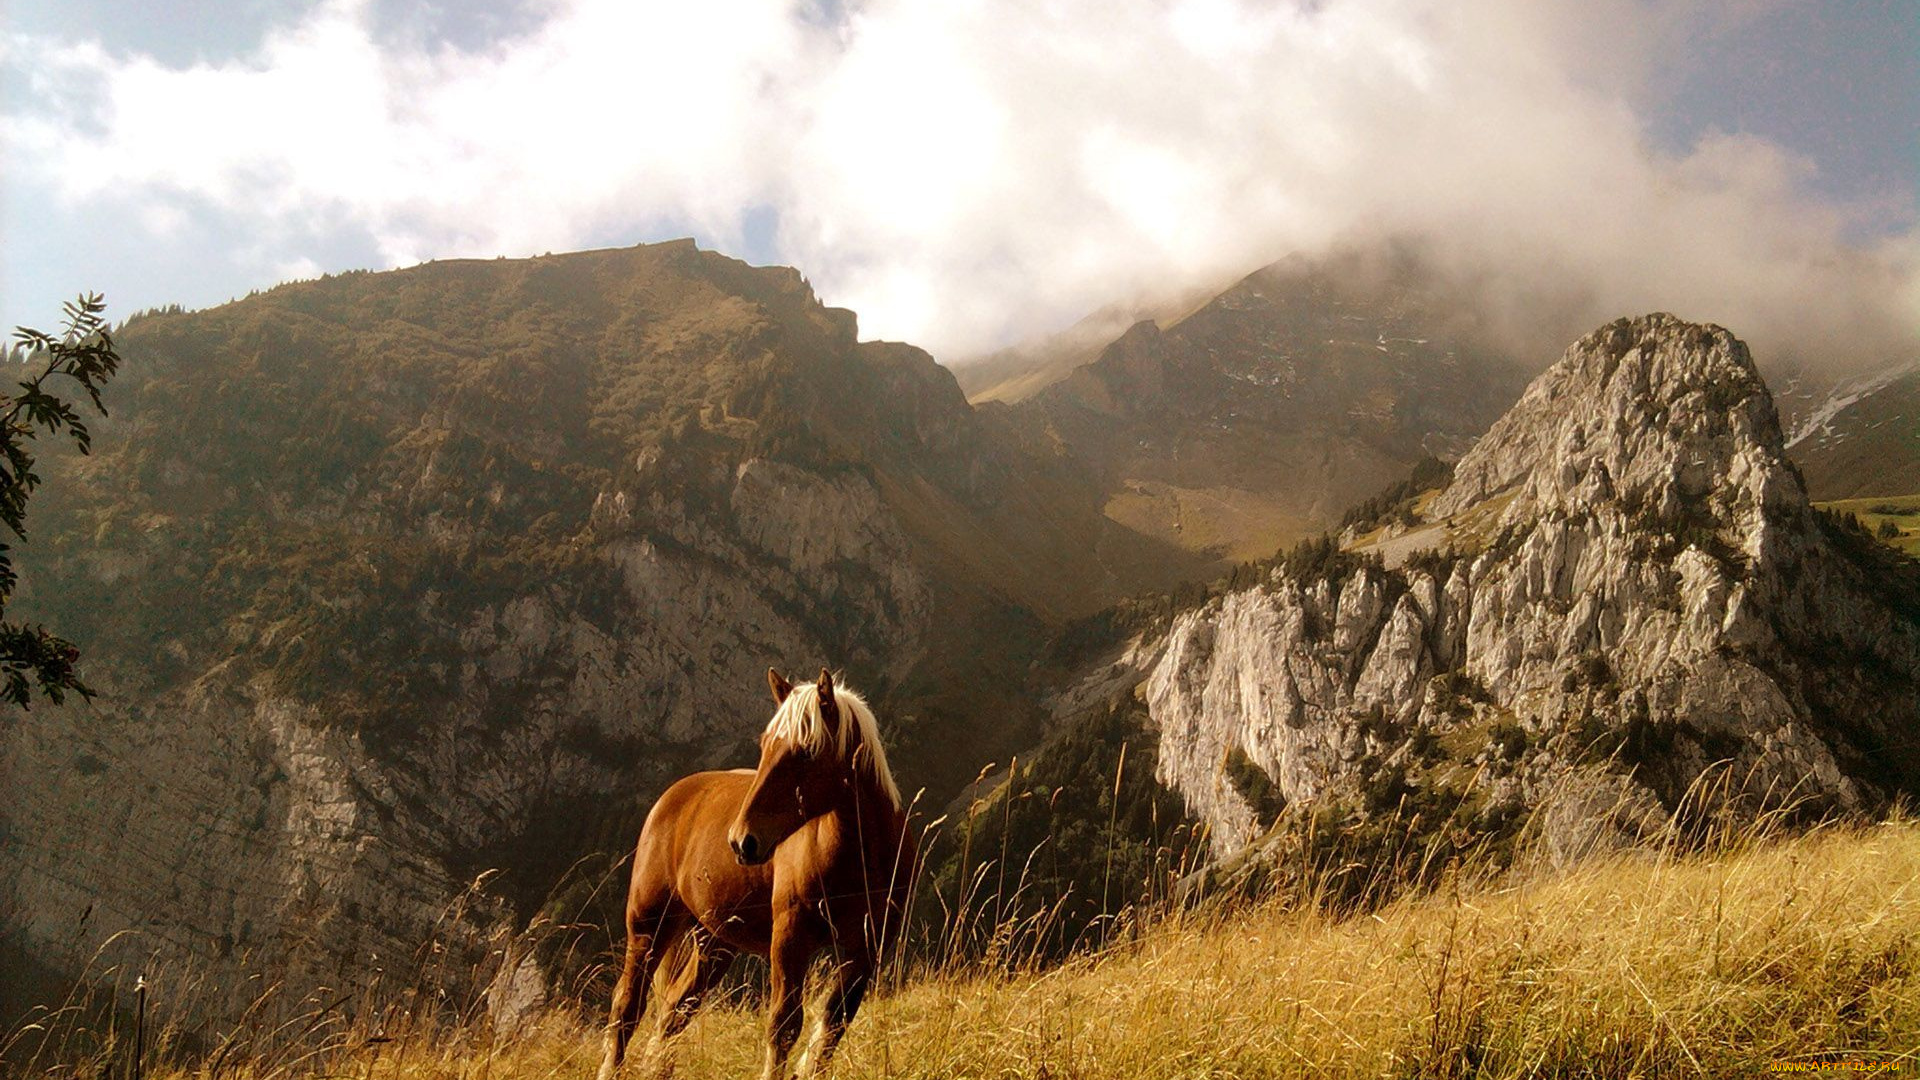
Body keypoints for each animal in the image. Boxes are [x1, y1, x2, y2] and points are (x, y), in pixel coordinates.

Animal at [591, 664, 913, 1076]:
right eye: (765, 745)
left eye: (806, 752)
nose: (742, 841)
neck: (859, 856)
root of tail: (673, 796)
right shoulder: (790, 936)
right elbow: (784, 1025)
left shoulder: (866, 947)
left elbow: (833, 1024)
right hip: (650, 926)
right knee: (627, 1008)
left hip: (713, 942)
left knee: (675, 1011)